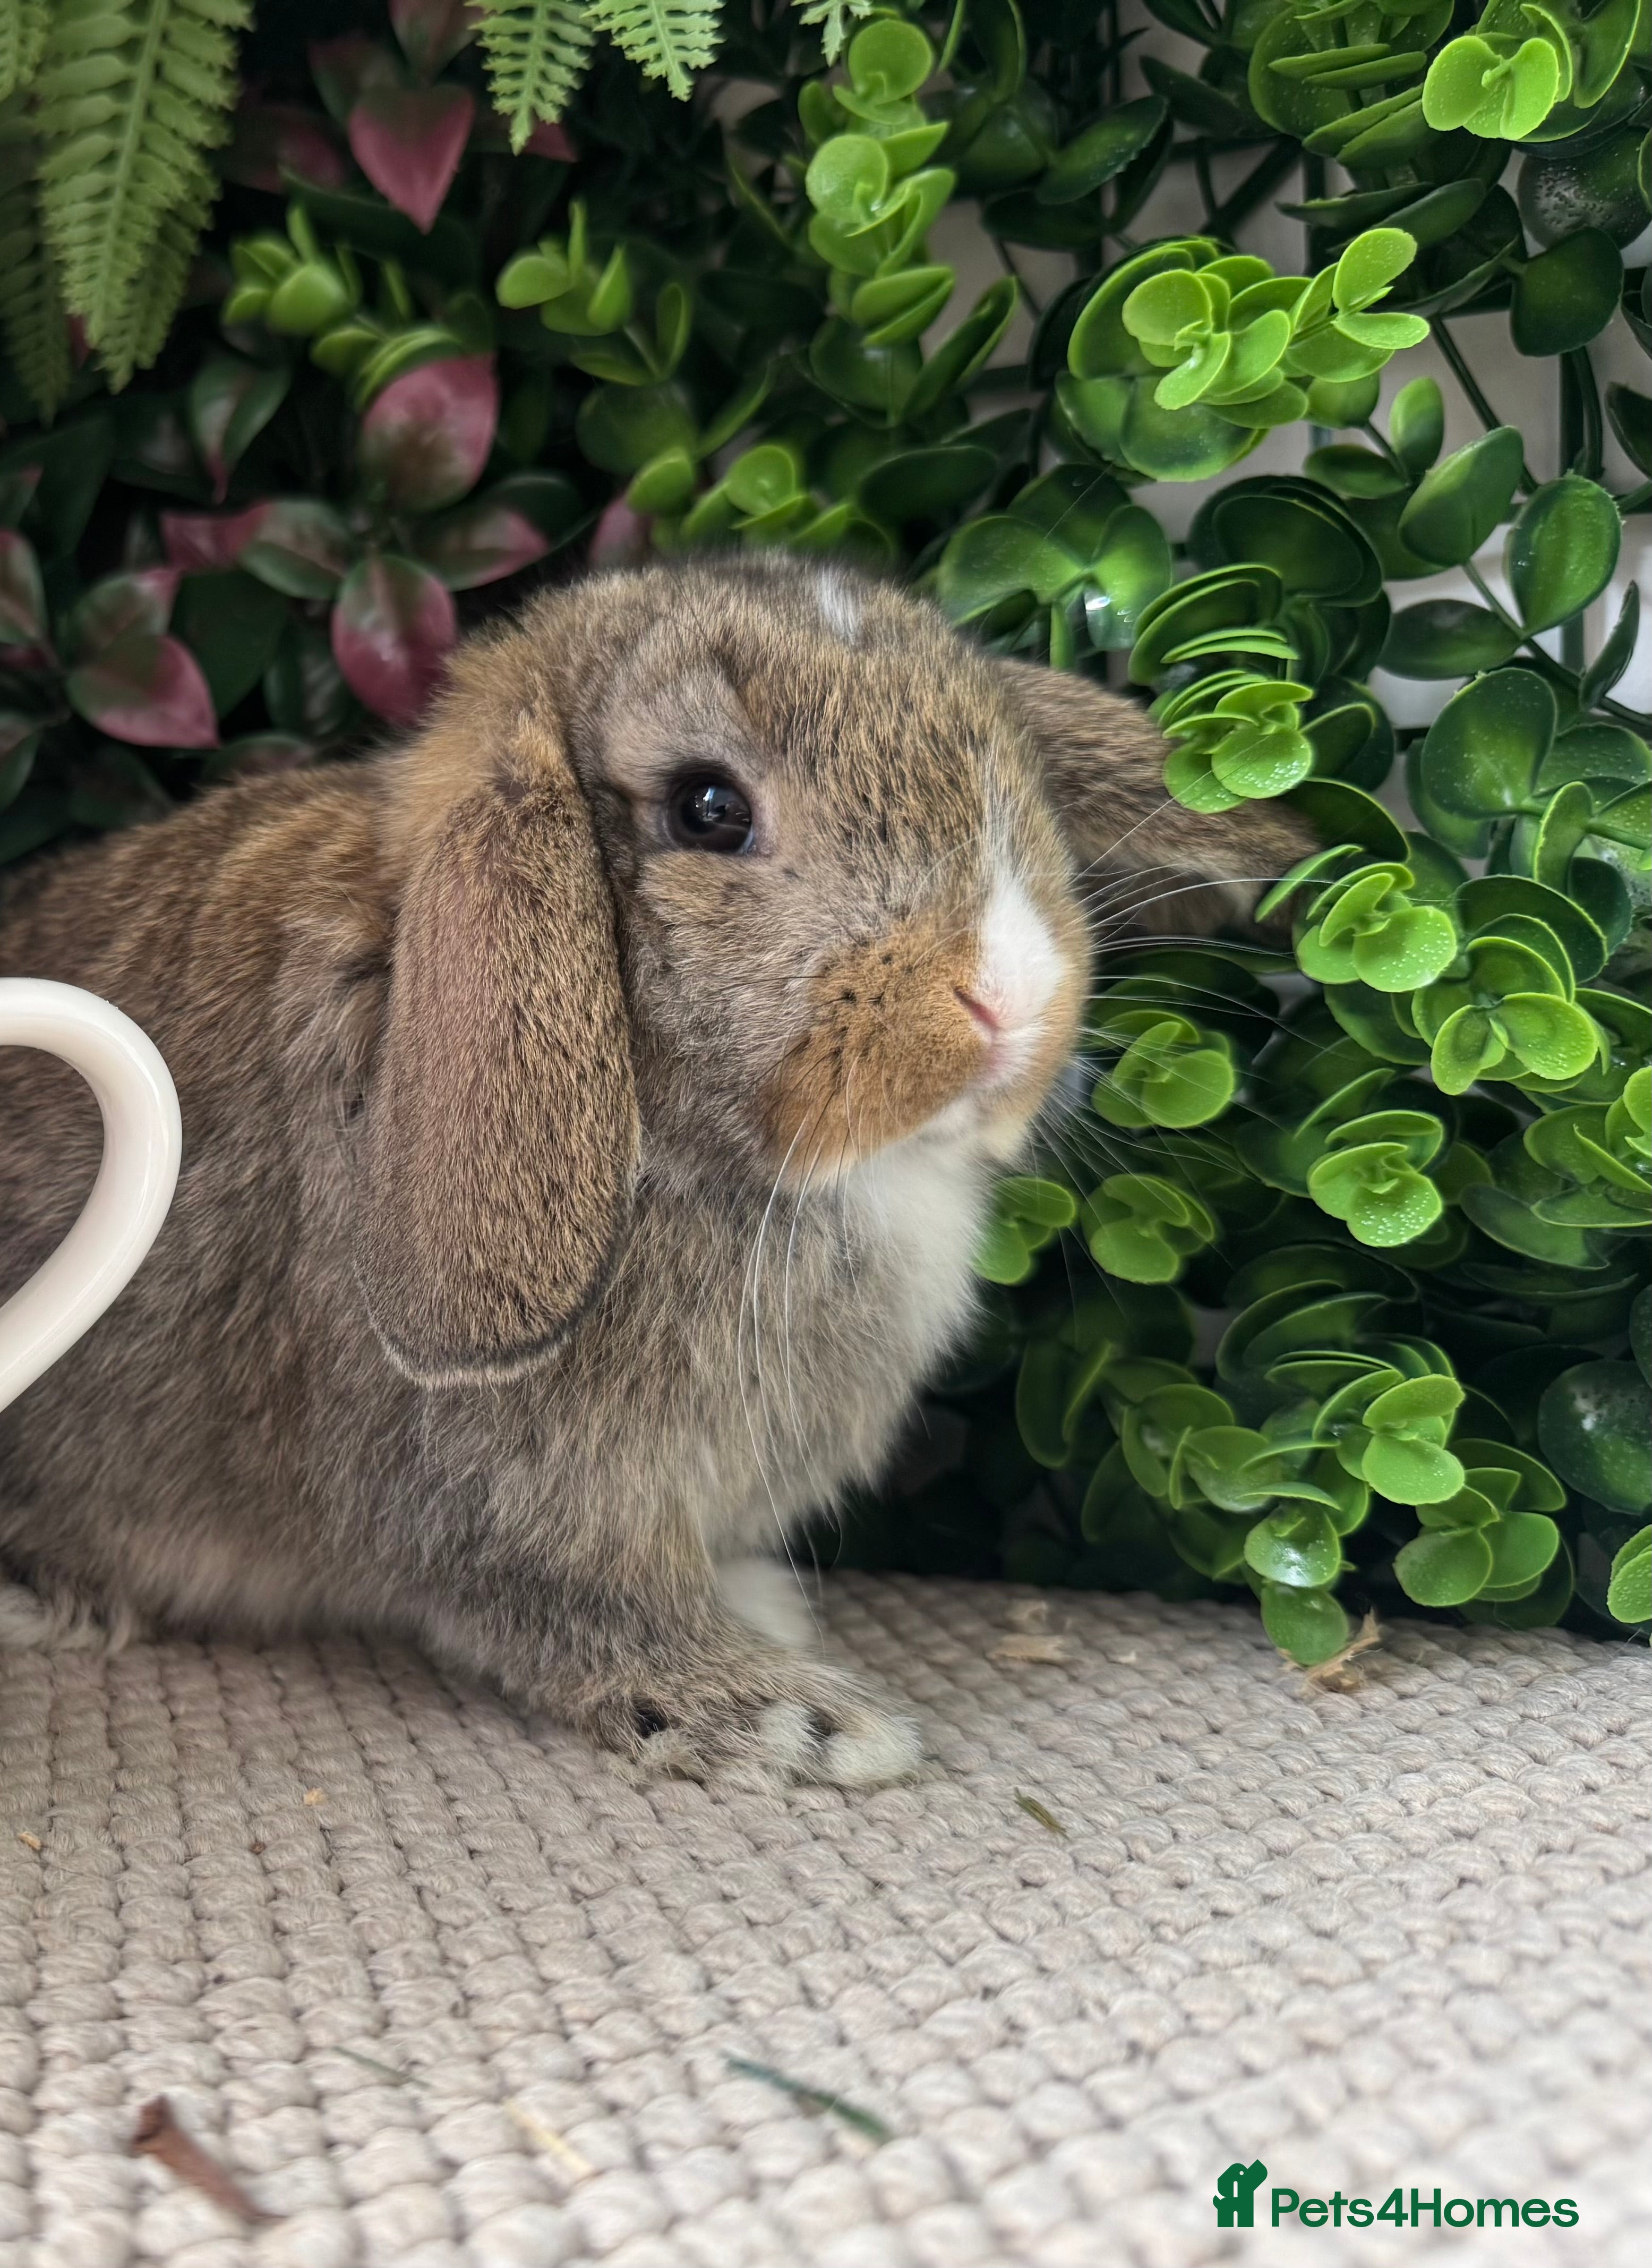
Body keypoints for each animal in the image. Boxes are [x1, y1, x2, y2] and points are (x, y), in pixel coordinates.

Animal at [0, 554, 1310, 1784]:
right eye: (708, 808)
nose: (1011, 996)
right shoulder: (508, 1506)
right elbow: (578, 1613)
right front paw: (795, 1718)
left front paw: (770, 1618)